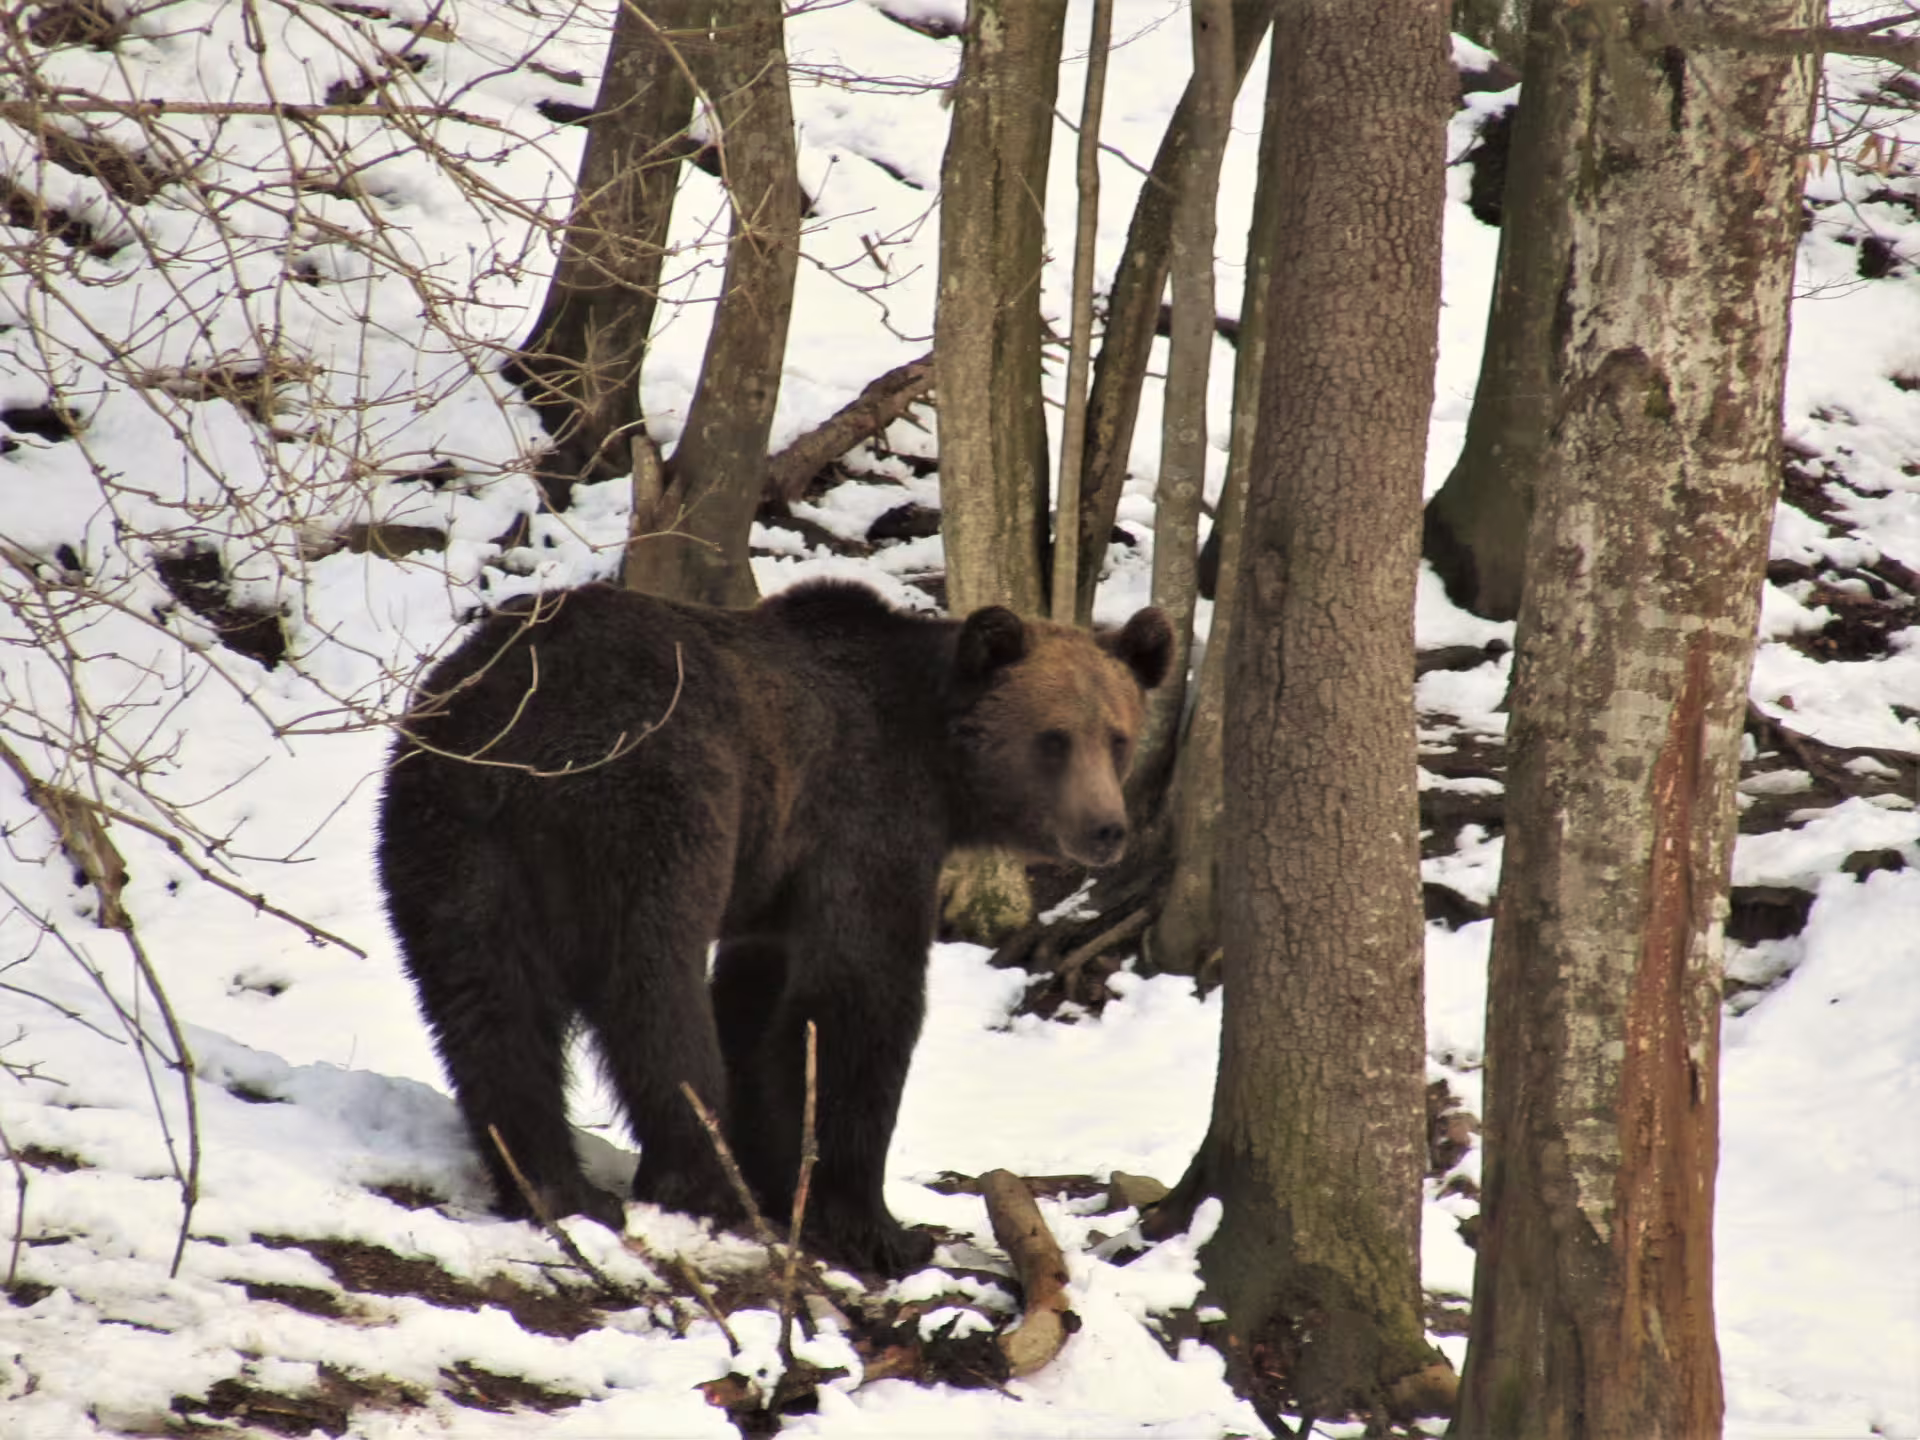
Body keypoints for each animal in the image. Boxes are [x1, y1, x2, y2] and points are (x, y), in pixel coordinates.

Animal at [376, 578, 1171, 1275]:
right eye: (1054, 738)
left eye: (1117, 736)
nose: (1106, 829)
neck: (937, 762)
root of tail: (517, 725)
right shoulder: (865, 819)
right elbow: (858, 1000)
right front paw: (878, 1226)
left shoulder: (774, 884)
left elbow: (756, 1004)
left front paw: (778, 1171)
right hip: (650, 799)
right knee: (652, 988)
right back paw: (701, 1179)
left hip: (447, 831)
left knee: (484, 1003)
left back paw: (551, 1184)